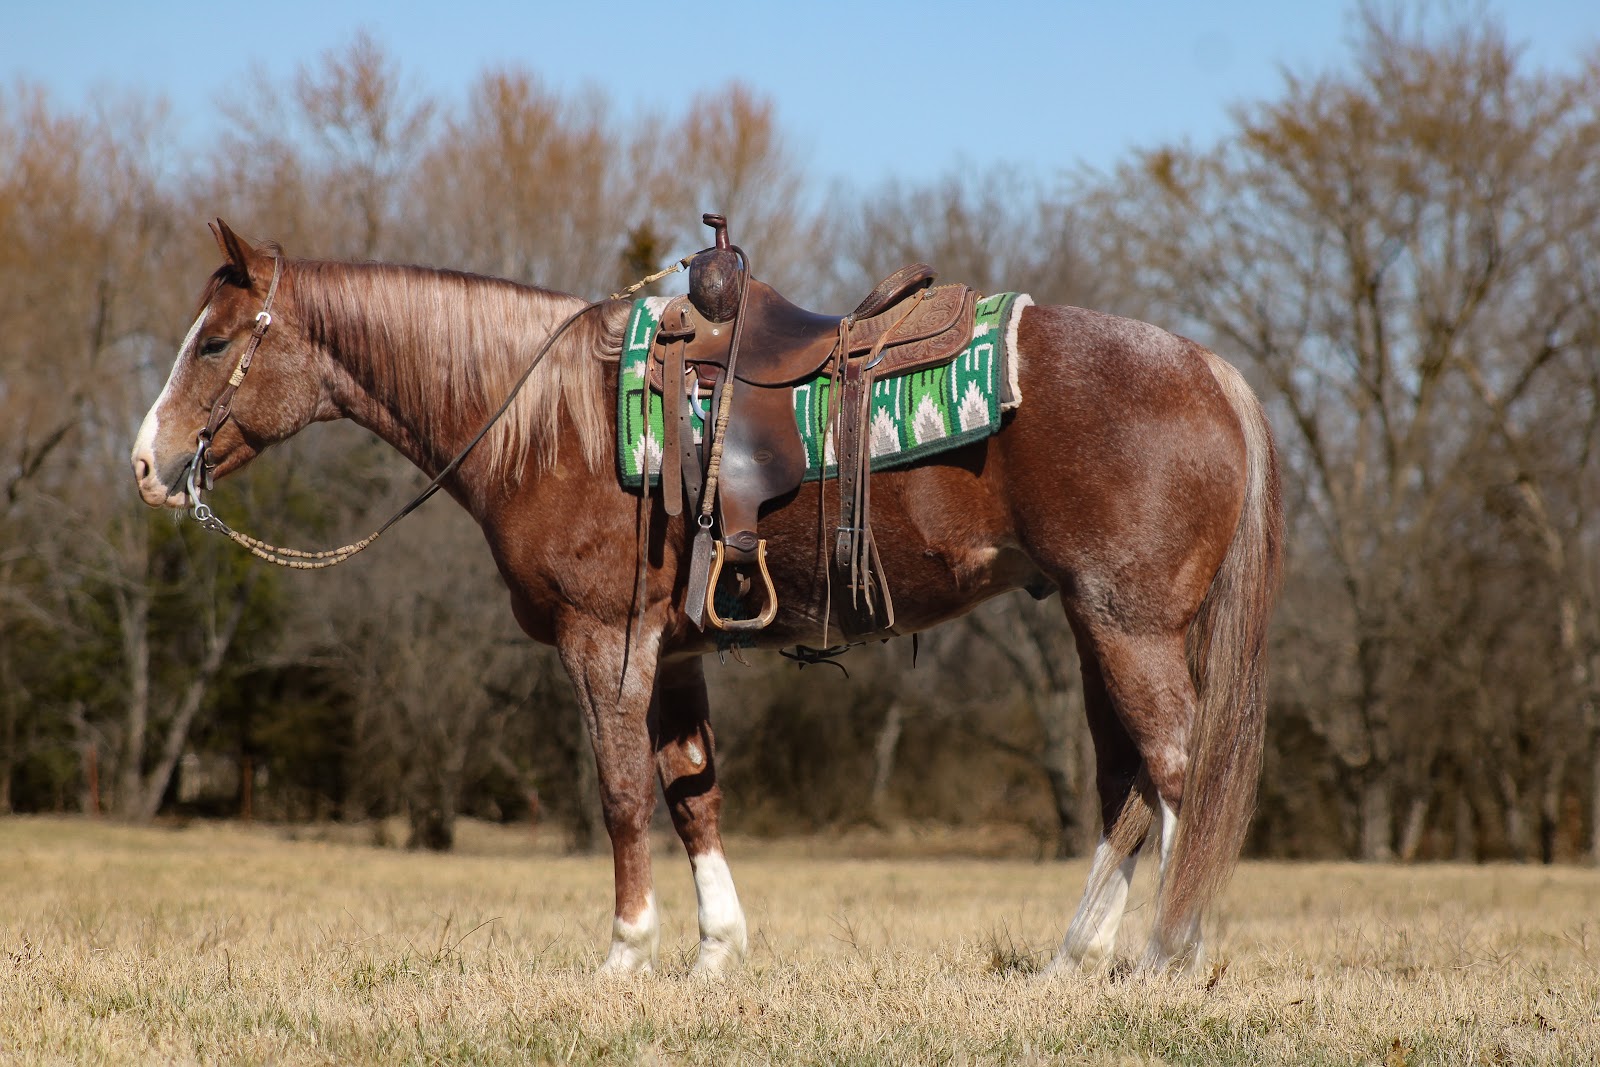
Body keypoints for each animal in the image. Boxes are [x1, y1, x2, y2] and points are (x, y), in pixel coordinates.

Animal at [131, 220, 1282, 977]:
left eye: (216, 341)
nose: (147, 463)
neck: (552, 417)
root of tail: (1208, 369)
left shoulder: (605, 640)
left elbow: (620, 792)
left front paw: (624, 953)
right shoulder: (674, 649)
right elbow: (693, 795)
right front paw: (714, 953)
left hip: (1128, 625)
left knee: (1177, 766)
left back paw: (1165, 956)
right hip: (1093, 625)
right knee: (1127, 784)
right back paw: (1073, 958)